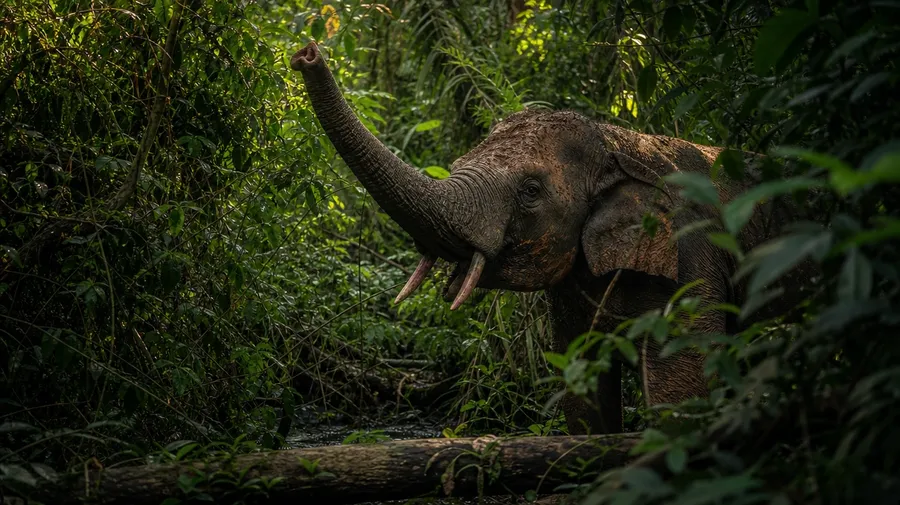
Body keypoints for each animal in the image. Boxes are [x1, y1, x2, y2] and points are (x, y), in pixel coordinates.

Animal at [290, 42, 807, 435]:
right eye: (456, 163)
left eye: (530, 191)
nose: (305, 54)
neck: (619, 139)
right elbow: (580, 384)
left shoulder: (693, 257)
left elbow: (682, 392)